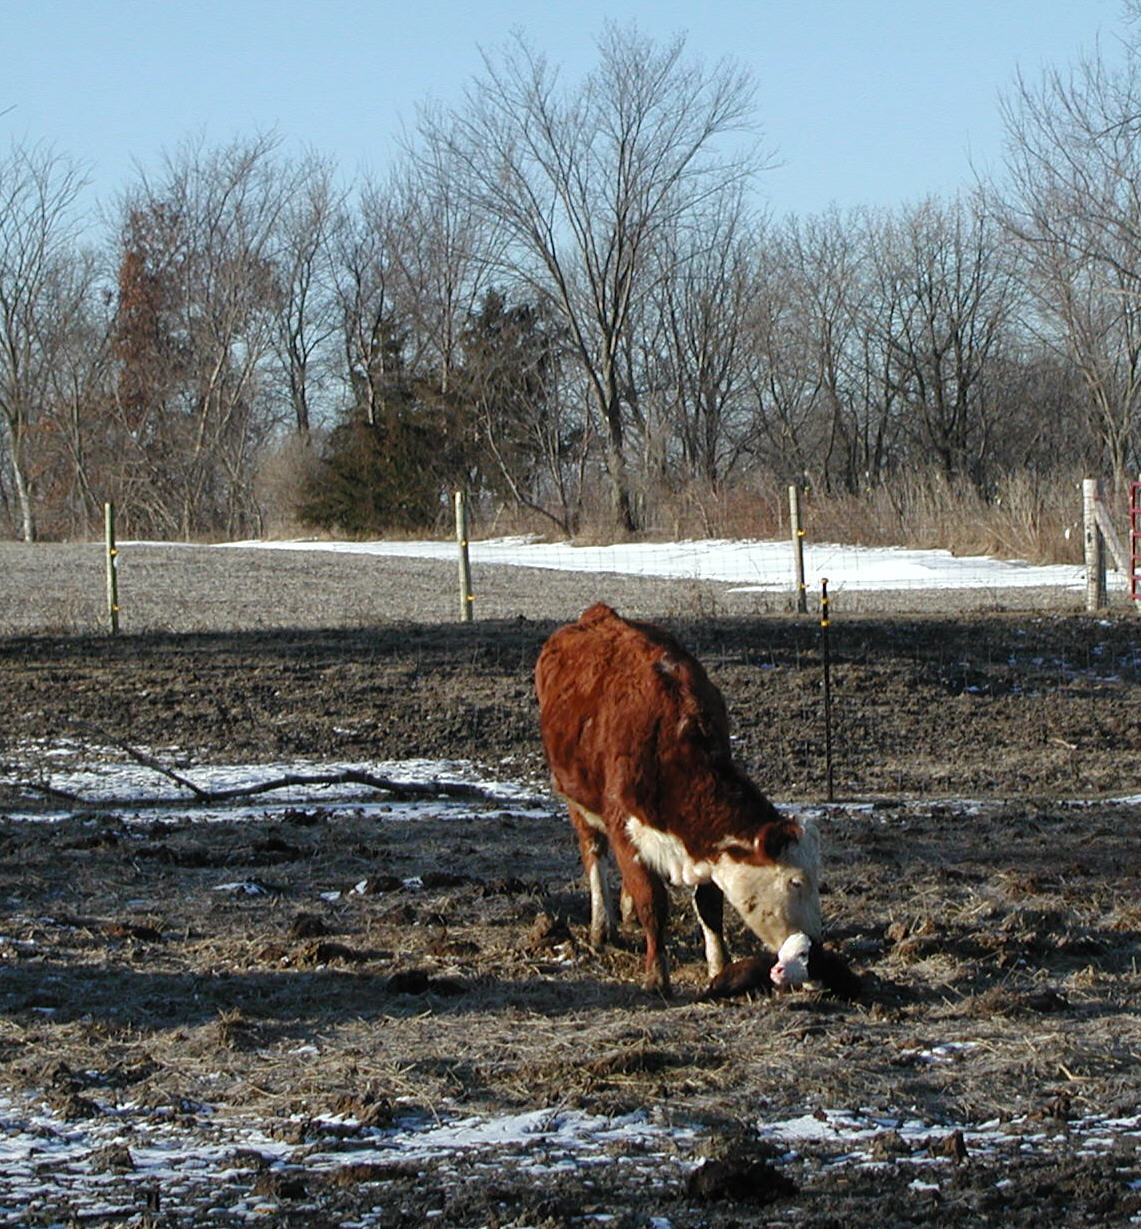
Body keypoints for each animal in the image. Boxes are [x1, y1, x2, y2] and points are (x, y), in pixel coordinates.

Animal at [536, 599, 821, 993]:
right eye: (795, 881)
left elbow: (710, 906)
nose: (817, 946)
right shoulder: (626, 832)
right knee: (593, 853)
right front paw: (657, 974)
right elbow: (652, 903)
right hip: (576, 801)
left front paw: (719, 967)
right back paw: (601, 926)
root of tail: (597, 615)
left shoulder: (709, 850)